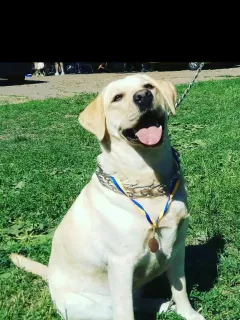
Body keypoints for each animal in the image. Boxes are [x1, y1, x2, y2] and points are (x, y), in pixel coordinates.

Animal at [8, 74, 204, 318]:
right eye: (117, 98)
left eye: (148, 86)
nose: (143, 96)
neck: (149, 183)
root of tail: (50, 276)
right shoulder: (121, 264)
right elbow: (125, 310)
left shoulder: (177, 248)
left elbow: (181, 289)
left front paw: (189, 314)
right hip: (85, 304)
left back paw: (164, 304)